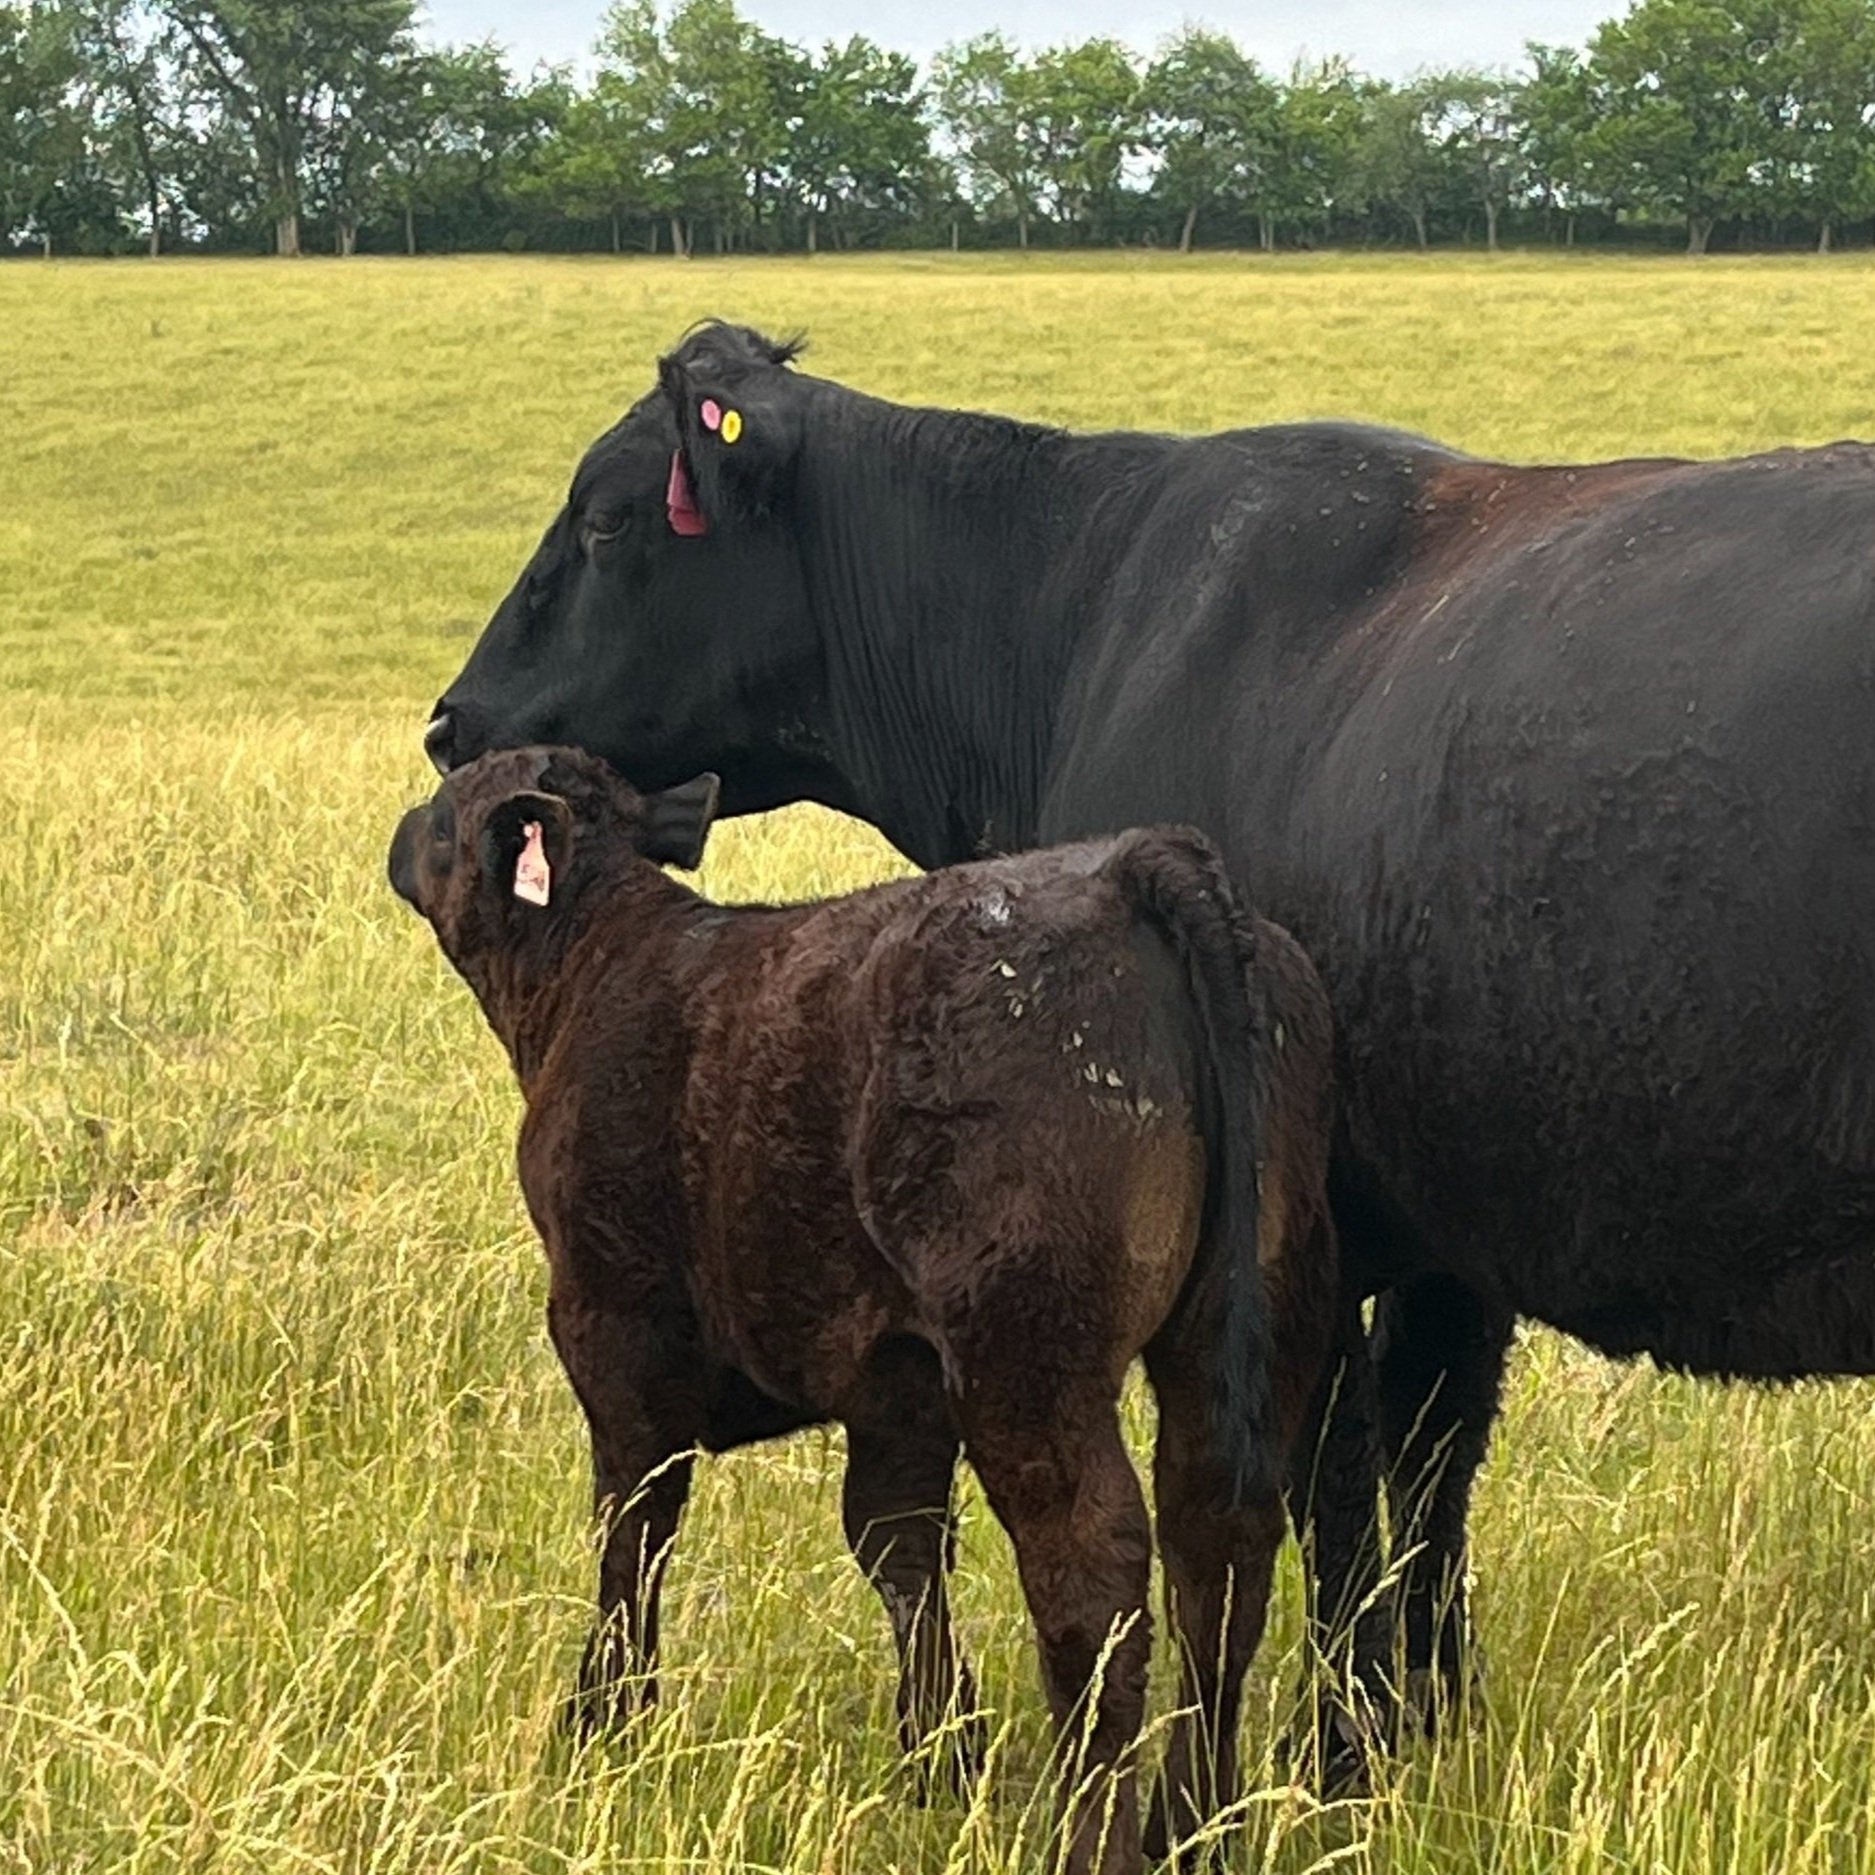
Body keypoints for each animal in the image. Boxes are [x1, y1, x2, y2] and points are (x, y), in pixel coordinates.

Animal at [387, 744, 1338, 1875]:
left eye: (450, 813)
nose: (403, 830)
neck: (595, 964)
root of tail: (1126, 867)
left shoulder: (612, 1320)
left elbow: (636, 1522)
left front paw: (603, 1721)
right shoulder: (898, 1376)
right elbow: (898, 1545)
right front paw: (940, 1757)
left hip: (1029, 1354)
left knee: (1092, 1573)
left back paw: (1093, 1839)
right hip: (1254, 1319)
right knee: (1220, 1547)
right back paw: (1193, 1828)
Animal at [422, 321, 1875, 1769]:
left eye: (608, 518)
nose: (451, 722)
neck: (1076, 623)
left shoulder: (1306, 1235)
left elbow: (1330, 1490)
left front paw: (1338, 1757)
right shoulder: (1450, 1230)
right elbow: (1429, 1475)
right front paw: (1425, 1733)